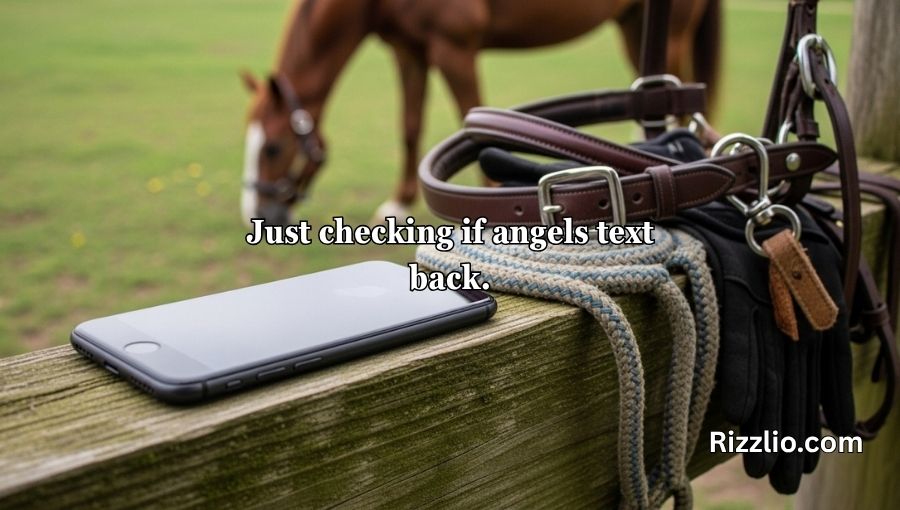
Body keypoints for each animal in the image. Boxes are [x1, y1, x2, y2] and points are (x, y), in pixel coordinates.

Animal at [240, 0, 720, 225]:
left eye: (274, 147)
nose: (255, 214)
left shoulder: (454, 47)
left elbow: (464, 114)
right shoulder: (409, 51)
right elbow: (410, 126)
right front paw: (397, 202)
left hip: (670, 32)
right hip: (634, 22)